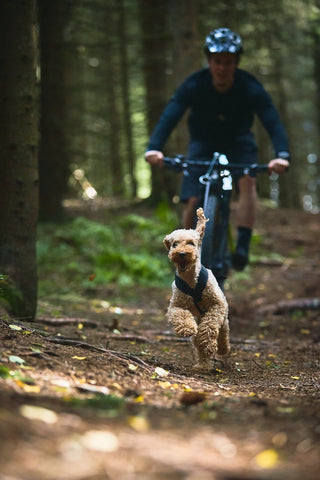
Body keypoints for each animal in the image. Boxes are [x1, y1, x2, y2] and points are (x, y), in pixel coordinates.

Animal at [164, 207, 229, 372]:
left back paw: (222, 349)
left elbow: (209, 326)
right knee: (198, 342)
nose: (181, 254)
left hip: (224, 320)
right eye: (175, 244)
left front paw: (209, 340)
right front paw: (187, 328)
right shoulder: (175, 305)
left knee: (223, 334)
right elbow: (180, 315)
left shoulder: (217, 305)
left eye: (191, 243)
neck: (191, 282)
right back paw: (202, 364)